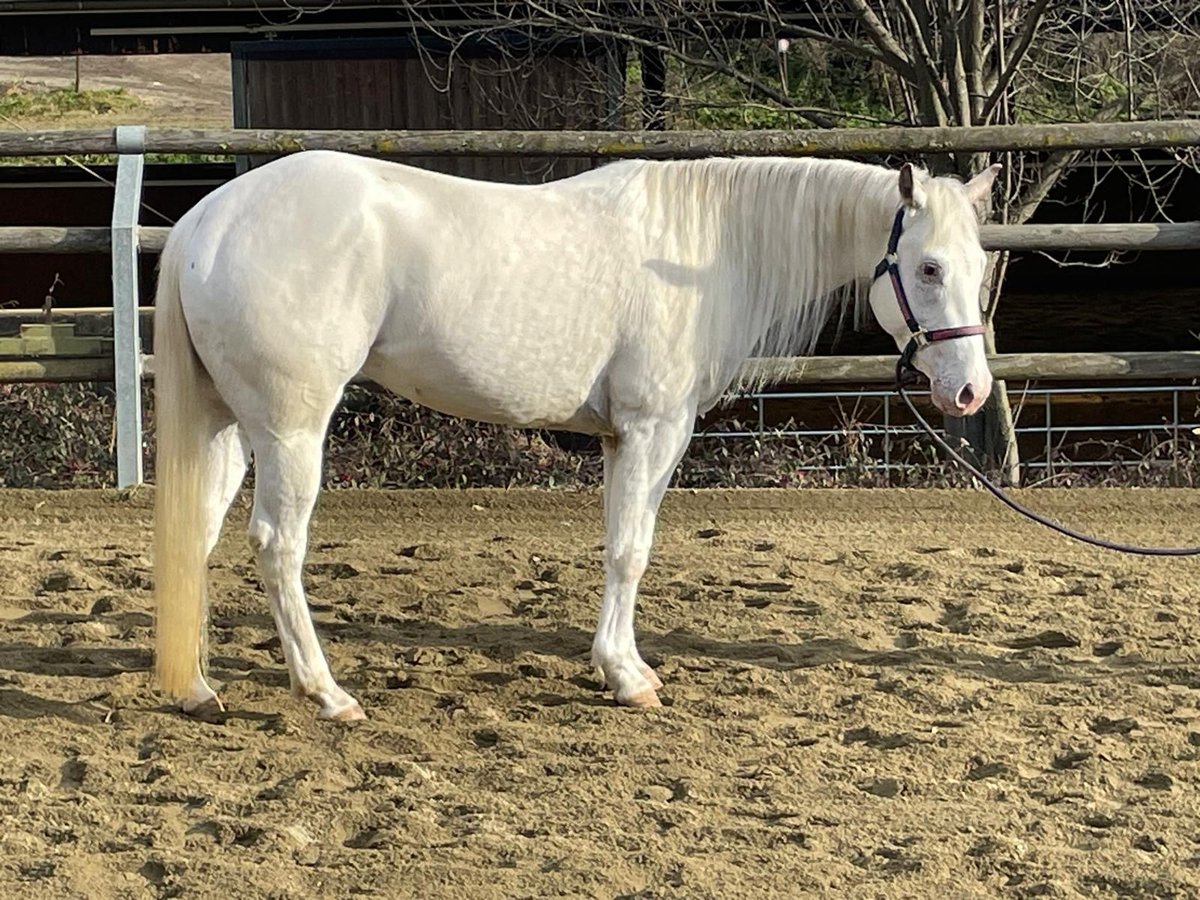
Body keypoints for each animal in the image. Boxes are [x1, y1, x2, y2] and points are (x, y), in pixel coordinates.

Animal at [157, 151, 1003, 724]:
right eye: (928, 267)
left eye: (979, 264)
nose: (969, 390)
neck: (702, 255)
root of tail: (206, 220)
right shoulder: (653, 429)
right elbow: (629, 552)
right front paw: (626, 678)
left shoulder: (629, 440)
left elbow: (629, 546)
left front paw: (624, 666)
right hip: (292, 429)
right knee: (277, 546)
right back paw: (326, 692)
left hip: (228, 424)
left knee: (195, 534)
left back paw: (196, 686)